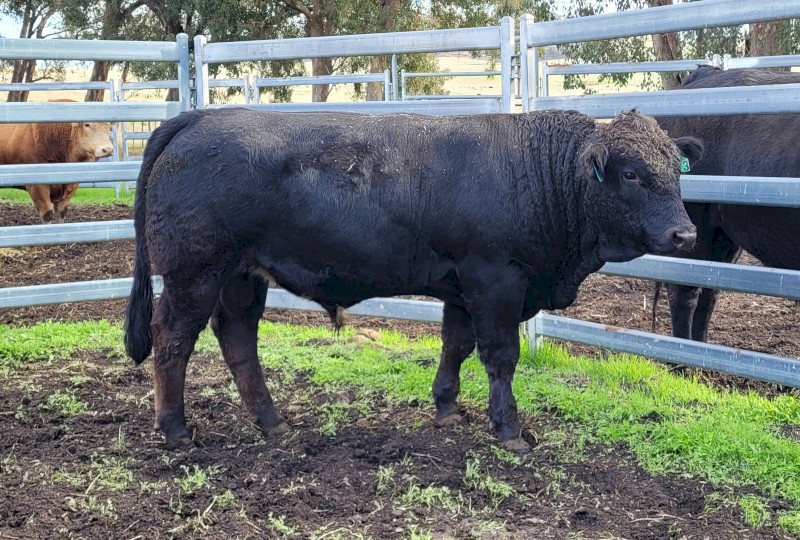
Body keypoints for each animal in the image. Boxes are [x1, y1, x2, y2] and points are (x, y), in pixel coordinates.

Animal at [124, 107, 701, 452]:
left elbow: (456, 345)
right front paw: (509, 428)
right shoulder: (496, 281)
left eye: (677, 171)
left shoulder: (463, 287)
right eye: (632, 173)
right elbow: (500, 356)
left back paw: (271, 420)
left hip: (242, 276)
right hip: (193, 273)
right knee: (173, 340)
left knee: (238, 339)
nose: (685, 234)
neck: (541, 173)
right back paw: (175, 428)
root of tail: (201, 117)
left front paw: (447, 408)